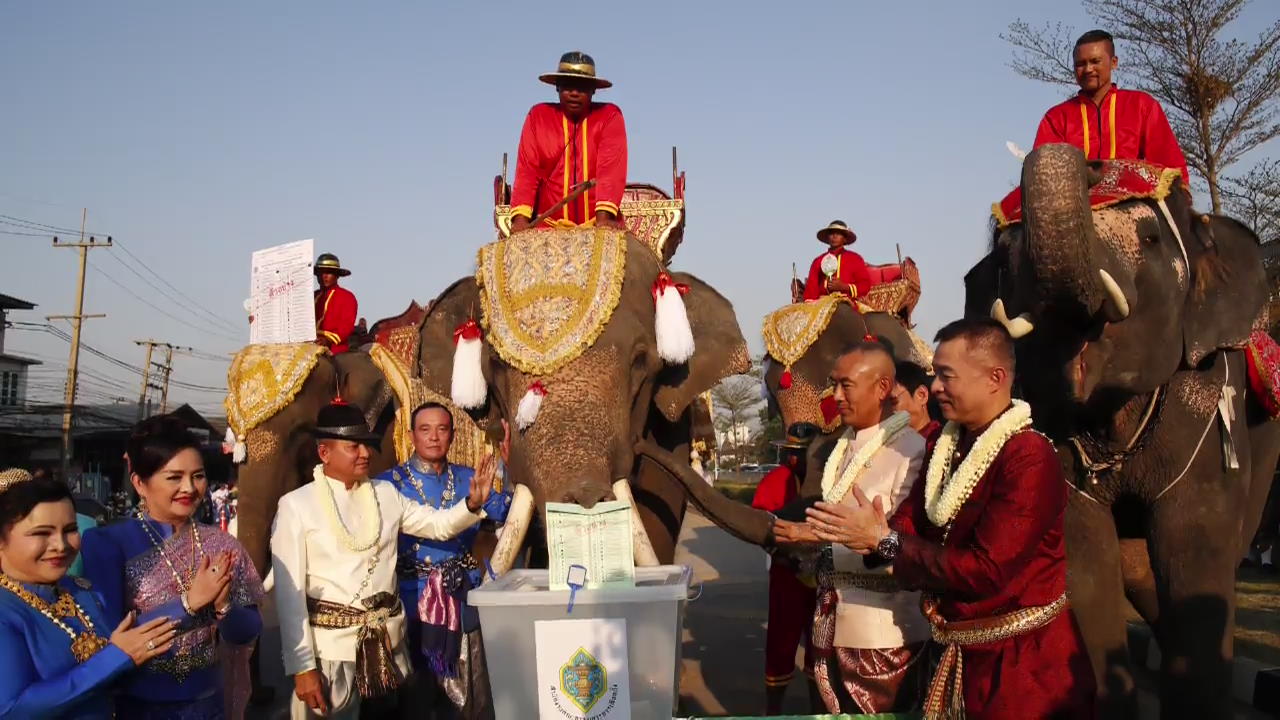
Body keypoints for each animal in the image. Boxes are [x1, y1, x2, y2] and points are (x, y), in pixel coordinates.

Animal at [967, 142, 1280, 712]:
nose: (1089, 163)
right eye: (1003, 258)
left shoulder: (1206, 405)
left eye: (1151, 239)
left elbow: (1193, 557)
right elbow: (1085, 561)